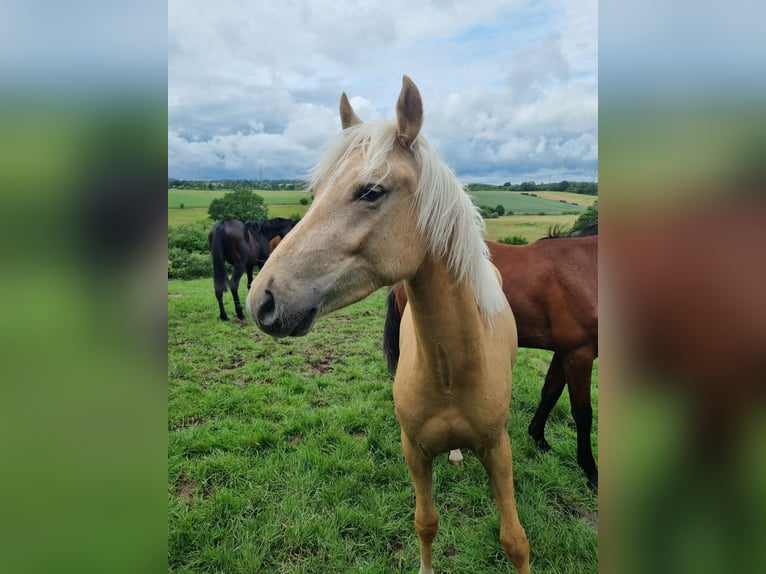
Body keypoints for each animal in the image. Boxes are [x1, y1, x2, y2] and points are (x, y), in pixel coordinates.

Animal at [247, 76, 530, 574]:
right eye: (317, 191)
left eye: (370, 191)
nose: (261, 300)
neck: (452, 372)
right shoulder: (413, 451)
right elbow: (425, 523)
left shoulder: (500, 449)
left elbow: (514, 540)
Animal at [384, 226, 599, 491]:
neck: (585, 267)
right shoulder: (579, 354)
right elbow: (583, 413)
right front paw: (590, 470)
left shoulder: (565, 352)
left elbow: (549, 393)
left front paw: (539, 439)